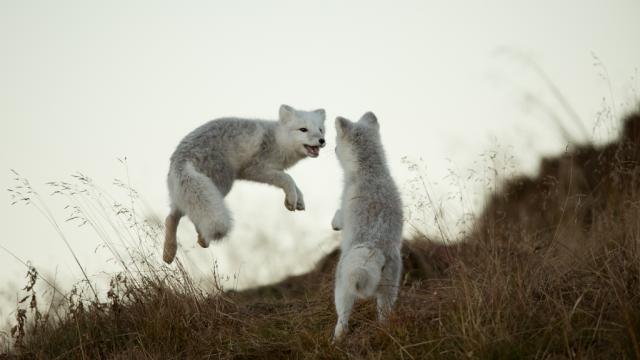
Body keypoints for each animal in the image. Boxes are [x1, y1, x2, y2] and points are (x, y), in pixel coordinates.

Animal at [162, 104, 328, 264]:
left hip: (185, 192)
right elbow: (288, 179)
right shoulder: (256, 169)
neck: (277, 140)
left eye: (320, 130)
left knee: (172, 217)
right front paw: (292, 199)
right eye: (303, 129)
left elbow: (295, 185)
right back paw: (199, 240)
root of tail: (183, 157)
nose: (322, 140)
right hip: (221, 186)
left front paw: (297, 201)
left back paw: (170, 252)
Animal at [332, 112, 402, 340]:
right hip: (389, 291)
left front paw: (335, 225)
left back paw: (336, 339)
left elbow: (338, 216)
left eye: (336, 142)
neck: (370, 170)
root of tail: (373, 246)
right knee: (384, 316)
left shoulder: (344, 202)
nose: (332, 149)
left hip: (342, 286)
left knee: (342, 318)